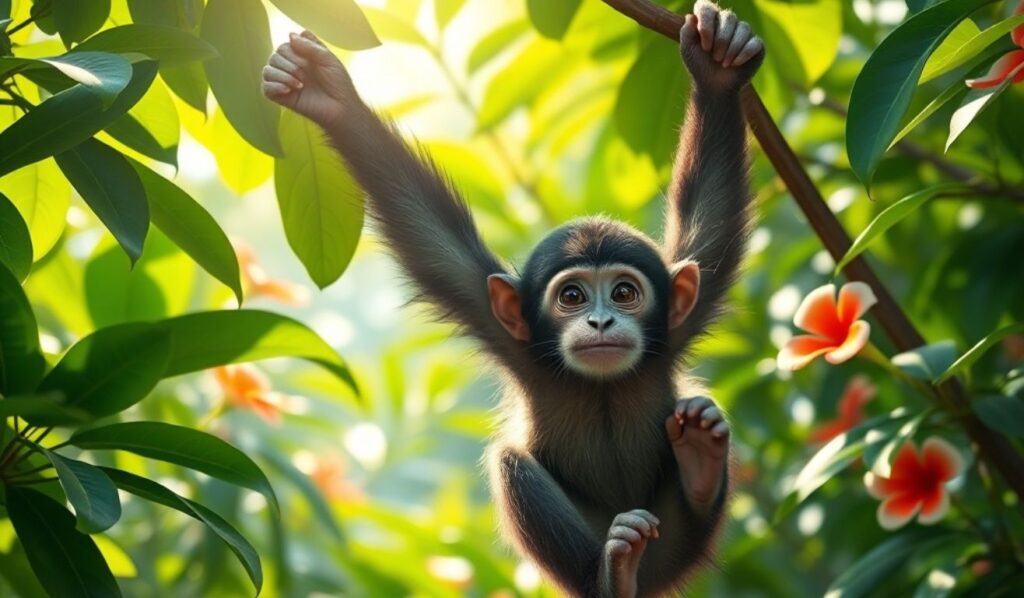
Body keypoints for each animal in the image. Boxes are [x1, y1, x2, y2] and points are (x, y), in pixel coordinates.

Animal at [262, 1, 763, 595]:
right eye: (572, 295)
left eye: (623, 292)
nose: (599, 321)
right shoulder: (509, 331)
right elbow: (434, 239)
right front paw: (331, 96)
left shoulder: (675, 323)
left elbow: (711, 223)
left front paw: (716, 69)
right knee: (512, 465)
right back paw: (614, 571)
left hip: (680, 543)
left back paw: (701, 460)